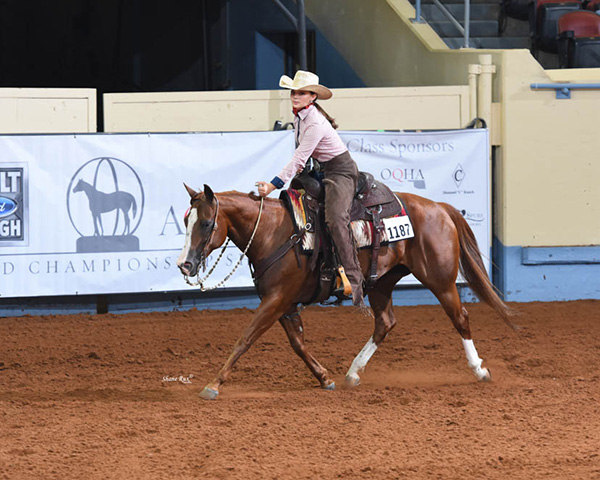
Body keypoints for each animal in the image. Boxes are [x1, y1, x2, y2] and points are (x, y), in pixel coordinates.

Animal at [177, 182, 516, 400]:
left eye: (206, 223)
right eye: (185, 220)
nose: (184, 265)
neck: (275, 232)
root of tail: (440, 208)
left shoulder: (276, 300)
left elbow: (245, 339)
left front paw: (213, 384)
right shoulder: (284, 303)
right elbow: (298, 344)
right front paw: (325, 378)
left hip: (440, 280)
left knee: (460, 317)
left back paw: (480, 370)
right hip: (381, 282)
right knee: (385, 323)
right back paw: (353, 373)